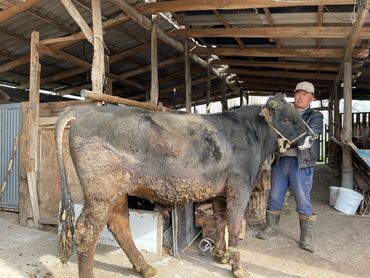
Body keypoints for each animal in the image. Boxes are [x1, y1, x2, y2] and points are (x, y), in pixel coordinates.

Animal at [56, 94, 314, 278]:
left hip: (117, 193)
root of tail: (86, 111)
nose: (312, 137)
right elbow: (233, 225)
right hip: (101, 194)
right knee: (86, 233)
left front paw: (220, 255)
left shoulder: (221, 191)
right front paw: (238, 267)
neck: (251, 134)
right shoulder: (240, 188)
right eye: (288, 119)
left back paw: (145, 267)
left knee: (120, 226)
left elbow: (220, 221)